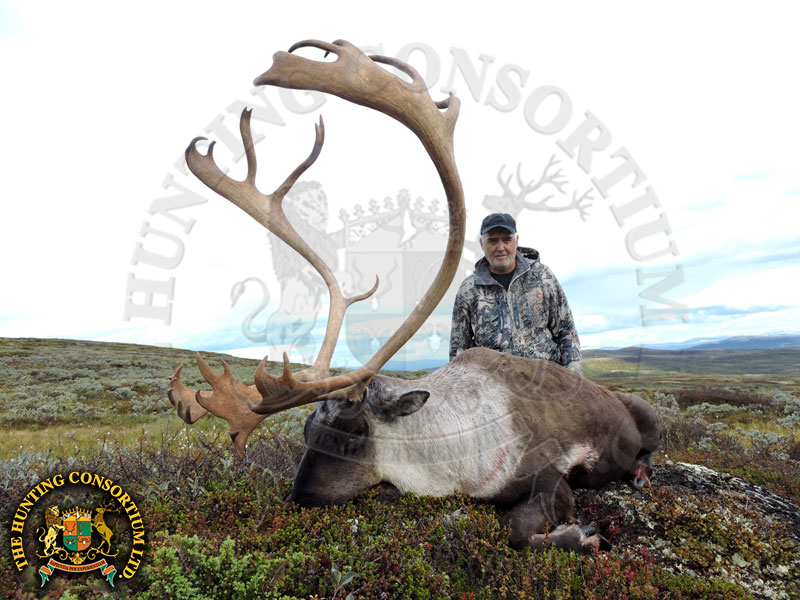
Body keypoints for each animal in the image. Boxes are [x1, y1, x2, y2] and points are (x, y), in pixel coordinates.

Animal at [167, 39, 660, 554]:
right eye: (305, 429)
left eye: (352, 433)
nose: (298, 499)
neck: (443, 443)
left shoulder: (550, 472)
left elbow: (518, 528)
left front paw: (584, 535)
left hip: (646, 414)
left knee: (649, 446)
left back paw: (641, 474)